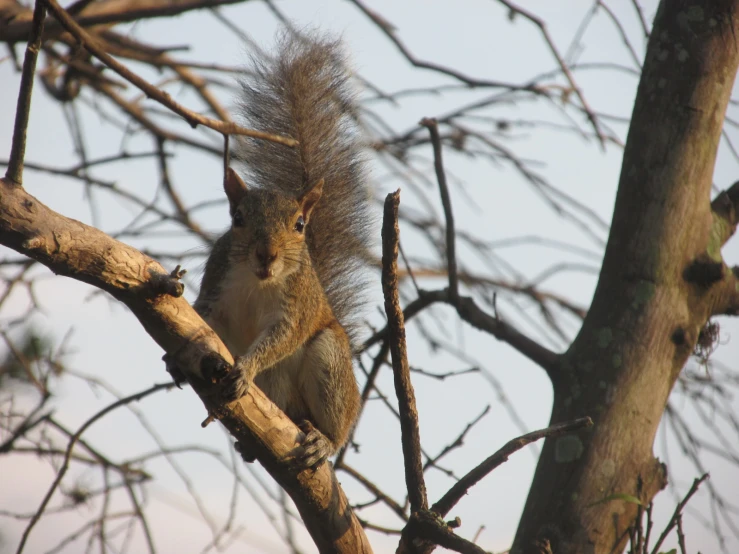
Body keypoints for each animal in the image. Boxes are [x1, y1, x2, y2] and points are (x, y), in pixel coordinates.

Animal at [183, 33, 372, 466]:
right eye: (237, 218)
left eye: (299, 225)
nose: (266, 254)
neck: (258, 282)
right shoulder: (217, 285)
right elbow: (202, 316)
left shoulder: (297, 306)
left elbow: (283, 336)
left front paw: (247, 368)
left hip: (330, 362)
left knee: (335, 423)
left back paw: (323, 442)